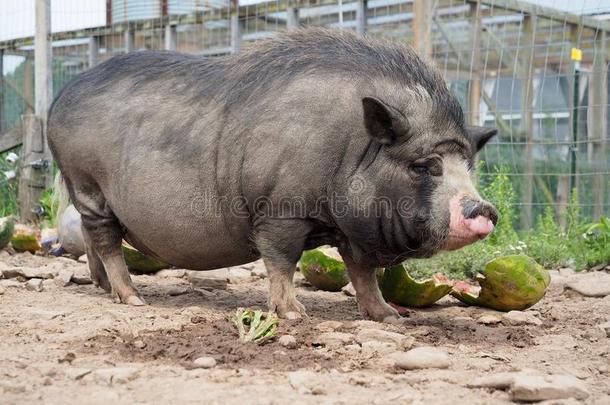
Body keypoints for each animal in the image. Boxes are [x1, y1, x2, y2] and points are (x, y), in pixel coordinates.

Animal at [50, 26, 496, 320]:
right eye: (424, 165)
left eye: (468, 166)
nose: (486, 210)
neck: (350, 146)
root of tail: (60, 98)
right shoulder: (281, 209)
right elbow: (283, 259)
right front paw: (295, 314)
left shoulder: (351, 227)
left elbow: (362, 273)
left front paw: (391, 316)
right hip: (86, 182)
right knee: (106, 239)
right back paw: (133, 298)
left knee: (91, 237)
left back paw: (105, 289)